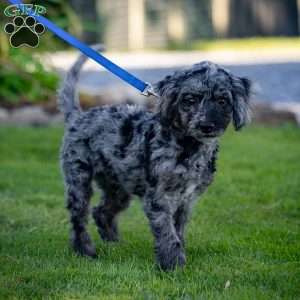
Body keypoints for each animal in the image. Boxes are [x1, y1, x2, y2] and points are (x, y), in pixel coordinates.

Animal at [58, 46, 251, 270]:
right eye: (190, 100)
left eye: (222, 101)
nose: (206, 126)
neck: (188, 147)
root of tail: (78, 117)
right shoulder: (159, 196)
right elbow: (167, 232)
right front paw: (172, 264)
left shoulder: (186, 200)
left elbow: (178, 230)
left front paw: (177, 257)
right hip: (78, 178)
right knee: (79, 217)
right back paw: (85, 251)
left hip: (118, 186)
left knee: (101, 212)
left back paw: (115, 244)